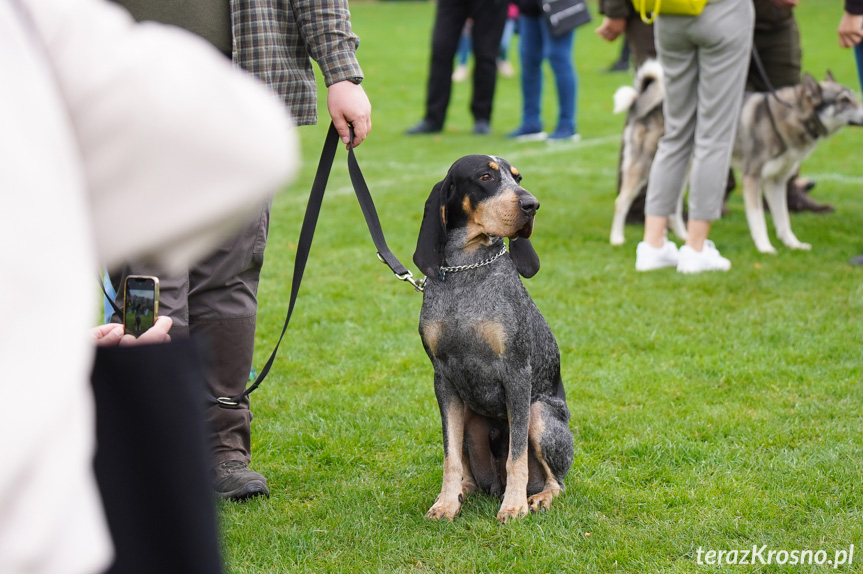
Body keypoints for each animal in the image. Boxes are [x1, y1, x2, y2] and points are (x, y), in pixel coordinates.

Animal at [414, 155, 572, 524]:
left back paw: (538, 497)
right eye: (485, 177)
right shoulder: (443, 379)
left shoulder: (517, 374)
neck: (467, 271)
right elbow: (449, 457)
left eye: (518, 178)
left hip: (540, 412)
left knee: (556, 482)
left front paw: (513, 506)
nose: (532, 205)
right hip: (469, 417)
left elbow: (517, 456)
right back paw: (460, 493)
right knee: (467, 472)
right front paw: (446, 503)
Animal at [608, 60, 863, 254]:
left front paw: (794, 244)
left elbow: (783, 220)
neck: (791, 114)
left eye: (853, 97)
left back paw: (685, 236)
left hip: (682, 167)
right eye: (843, 100)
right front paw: (765, 248)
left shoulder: (776, 182)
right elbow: (759, 219)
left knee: (671, 207)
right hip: (645, 165)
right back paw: (617, 238)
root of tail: (643, 100)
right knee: (621, 201)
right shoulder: (752, 178)